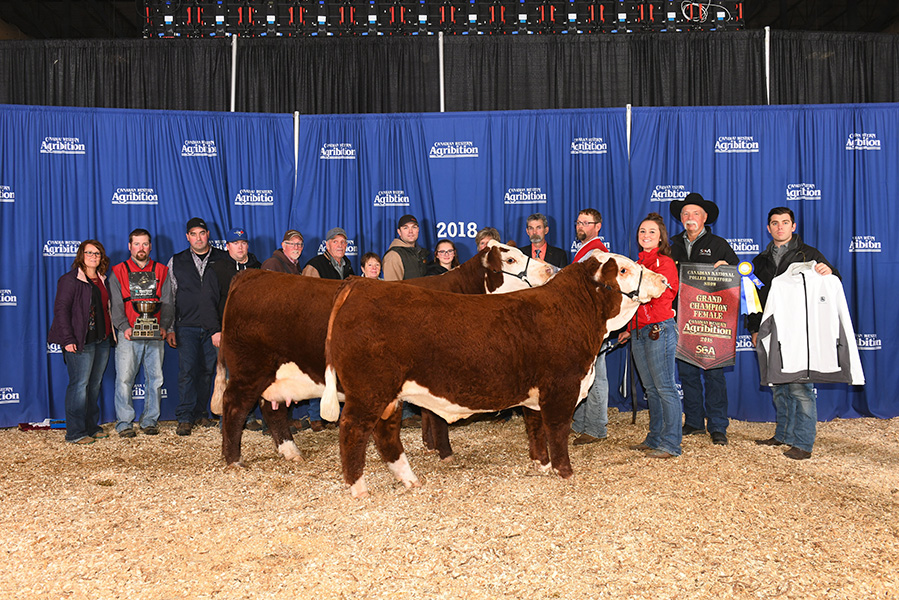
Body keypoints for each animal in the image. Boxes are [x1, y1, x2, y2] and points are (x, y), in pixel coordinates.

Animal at [209, 241, 556, 466]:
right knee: (235, 406)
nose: (549, 269)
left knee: (272, 409)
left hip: (274, 373)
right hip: (249, 368)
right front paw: (445, 453)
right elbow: (438, 418)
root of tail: (250, 275)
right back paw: (233, 460)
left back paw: (291, 452)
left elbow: (429, 414)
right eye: (510, 261)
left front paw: (430, 447)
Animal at [320, 251, 664, 500]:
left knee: (386, 434)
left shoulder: (535, 392)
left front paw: (542, 464)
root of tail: (359, 284)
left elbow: (535, 428)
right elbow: (557, 429)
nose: (662, 278)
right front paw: (565, 471)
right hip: (369, 390)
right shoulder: (561, 386)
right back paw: (358, 488)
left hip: (389, 394)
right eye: (623, 270)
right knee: (353, 430)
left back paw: (410, 480)